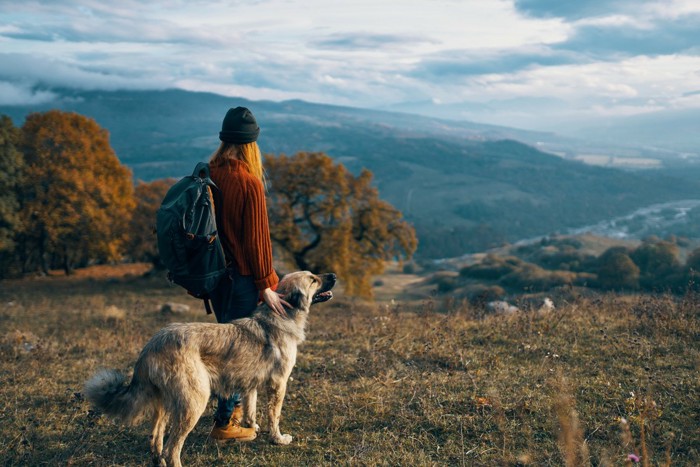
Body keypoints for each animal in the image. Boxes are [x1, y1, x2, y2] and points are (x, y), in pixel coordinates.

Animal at [85, 272, 336, 466]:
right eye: (313, 279)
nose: (333, 275)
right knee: (172, 448)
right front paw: (278, 438)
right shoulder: (278, 383)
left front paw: (251, 427)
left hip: (166, 401)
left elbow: (251, 408)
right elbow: (274, 416)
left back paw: (158, 461)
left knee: (156, 439)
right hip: (194, 401)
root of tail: (152, 344)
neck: (282, 315)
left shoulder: (251, 383)